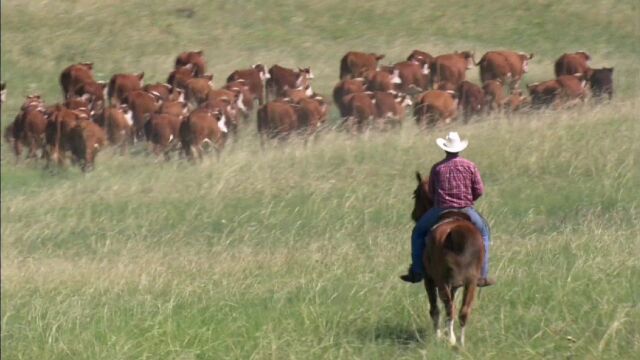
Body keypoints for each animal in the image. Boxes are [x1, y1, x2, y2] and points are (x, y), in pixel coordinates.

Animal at [412, 172, 482, 346]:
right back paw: (461, 343)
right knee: (463, 310)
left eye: (415, 194)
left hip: (441, 281)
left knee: (449, 308)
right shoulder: (455, 285)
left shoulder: (429, 280)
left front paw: (438, 335)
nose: (414, 215)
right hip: (471, 282)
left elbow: (435, 308)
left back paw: (451, 339)